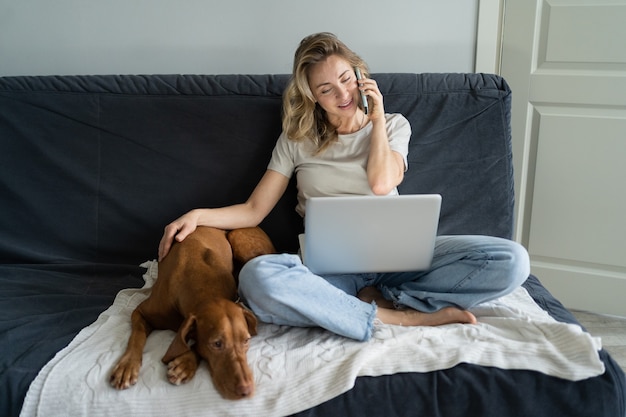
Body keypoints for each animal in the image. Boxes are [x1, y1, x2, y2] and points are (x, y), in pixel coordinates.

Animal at [109, 226, 272, 398]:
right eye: (217, 344)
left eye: (246, 340)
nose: (246, 390)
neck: (203, 287)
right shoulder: (140, 312)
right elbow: (136, 336)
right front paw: (127, 366)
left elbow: (194, 344)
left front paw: (185, 364)